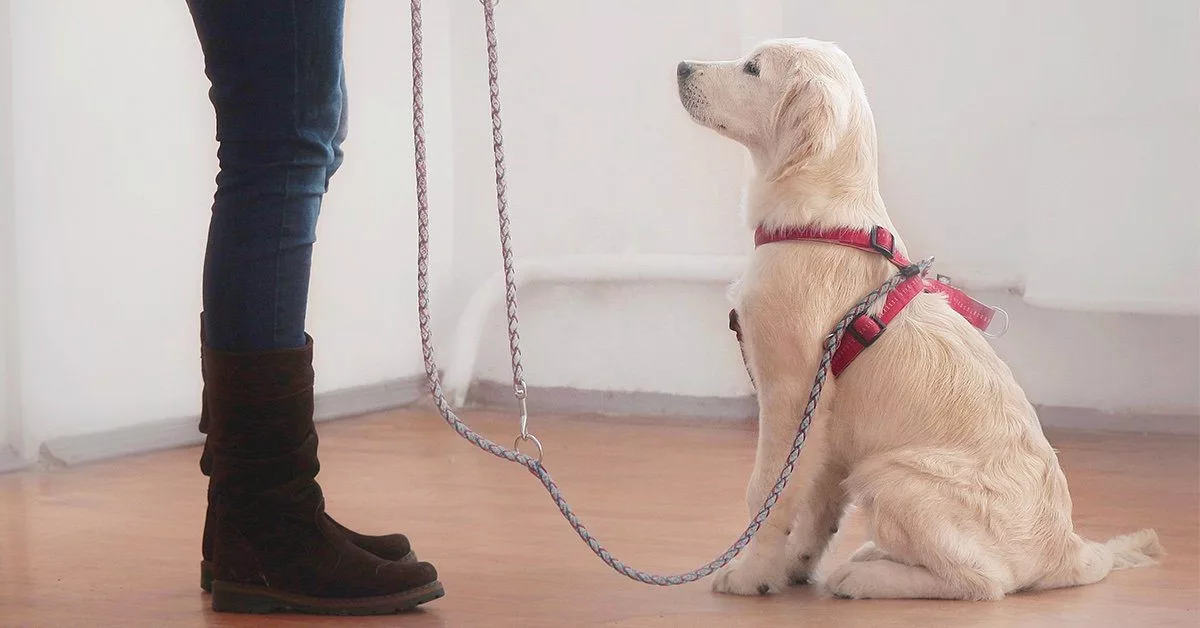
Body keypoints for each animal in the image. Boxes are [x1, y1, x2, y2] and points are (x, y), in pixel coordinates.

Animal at [676, 38, 1161, 600]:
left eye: (753, 68)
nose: (681, 66)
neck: (820, 224)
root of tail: (1069, 551)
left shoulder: (790, 395)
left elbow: (768, 494)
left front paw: (751, 573)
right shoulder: (830, 431)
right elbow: (818, 506)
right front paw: (792, 567)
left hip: (892, 474)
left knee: (984, 582)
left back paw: (865, 576)